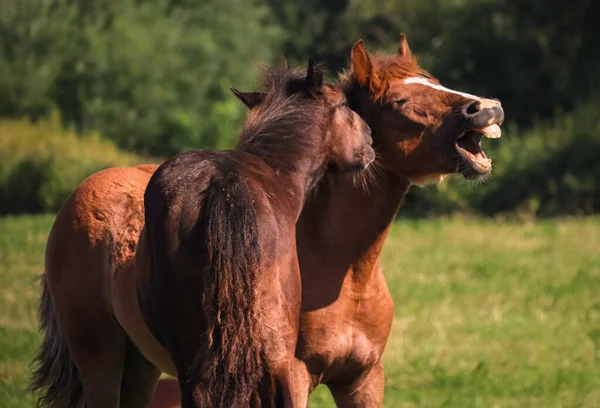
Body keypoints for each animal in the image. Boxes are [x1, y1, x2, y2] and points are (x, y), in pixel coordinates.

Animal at [30, 35, 504, 408]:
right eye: (401, 101)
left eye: (436, 82)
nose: (486, 109)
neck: (346, 270)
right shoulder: (291, 377)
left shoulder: (363, 380)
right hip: (101, 358)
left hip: (142, 365)